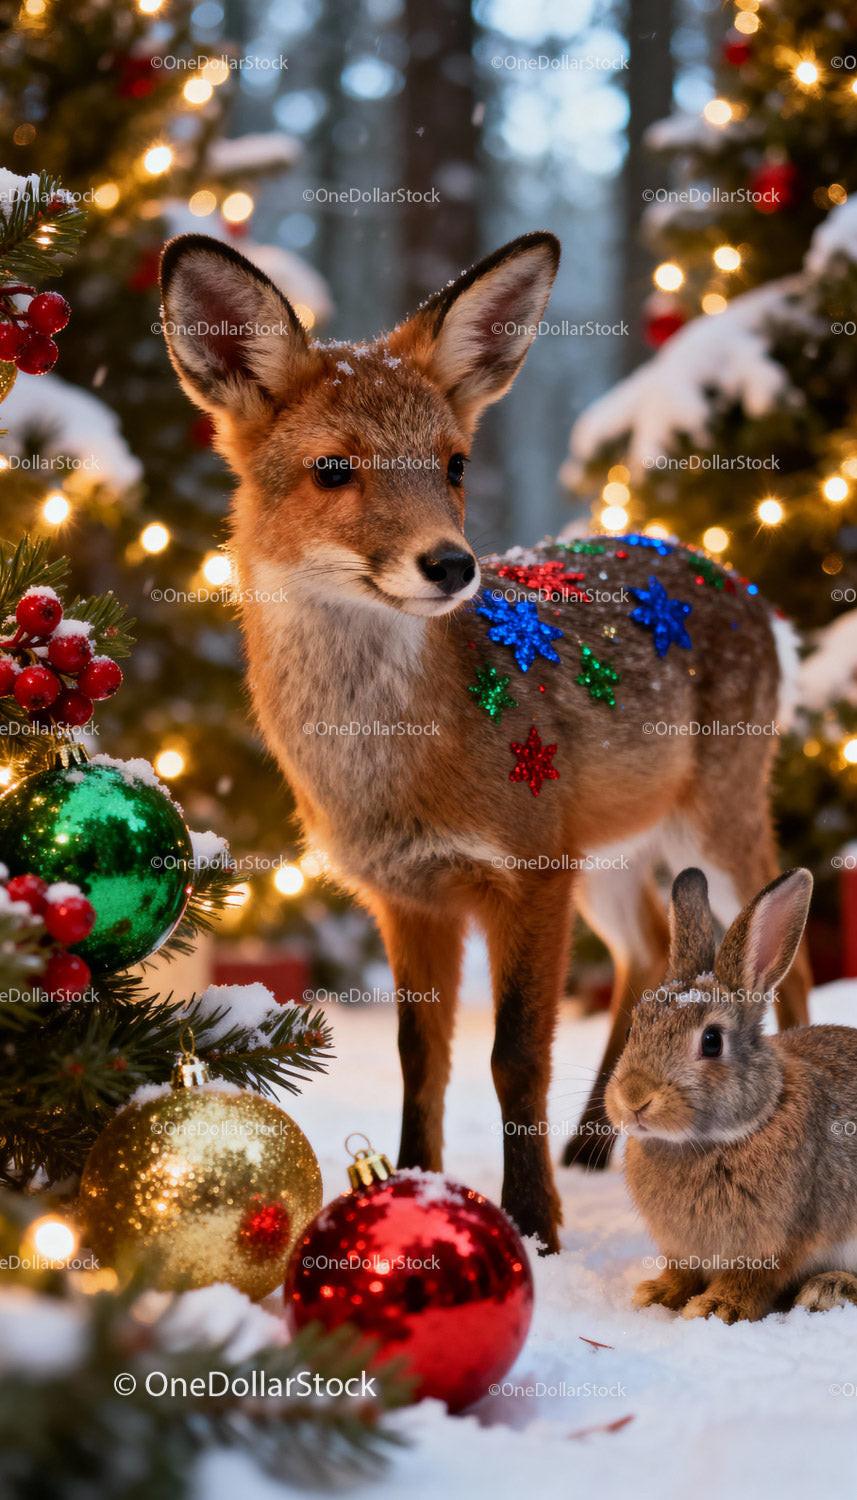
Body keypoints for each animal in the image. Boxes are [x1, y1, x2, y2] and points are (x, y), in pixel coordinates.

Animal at [159, 230, 810, 1253]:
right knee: (644, 958)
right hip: (612, 861)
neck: (388, 761)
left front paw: (533, 1224)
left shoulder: (524, 877)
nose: (450, 565)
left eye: (455, 465)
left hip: (710, 827)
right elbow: (419, 1059)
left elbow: (514, 1059)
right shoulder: (409, 897)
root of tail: (718, 567)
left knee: (793, 959)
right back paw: (595, 1138)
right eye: (333, 469)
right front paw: (409, 1188)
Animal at [605, 864, 857, 1323]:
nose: (634, 1098)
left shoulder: (775, 1244)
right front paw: (655, 1294)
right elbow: (680, 1273)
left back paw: (829, 1288)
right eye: (633, 1029)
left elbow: (751, 1280)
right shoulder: (681, 1251)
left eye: (711, 1041)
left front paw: (716, 1307)